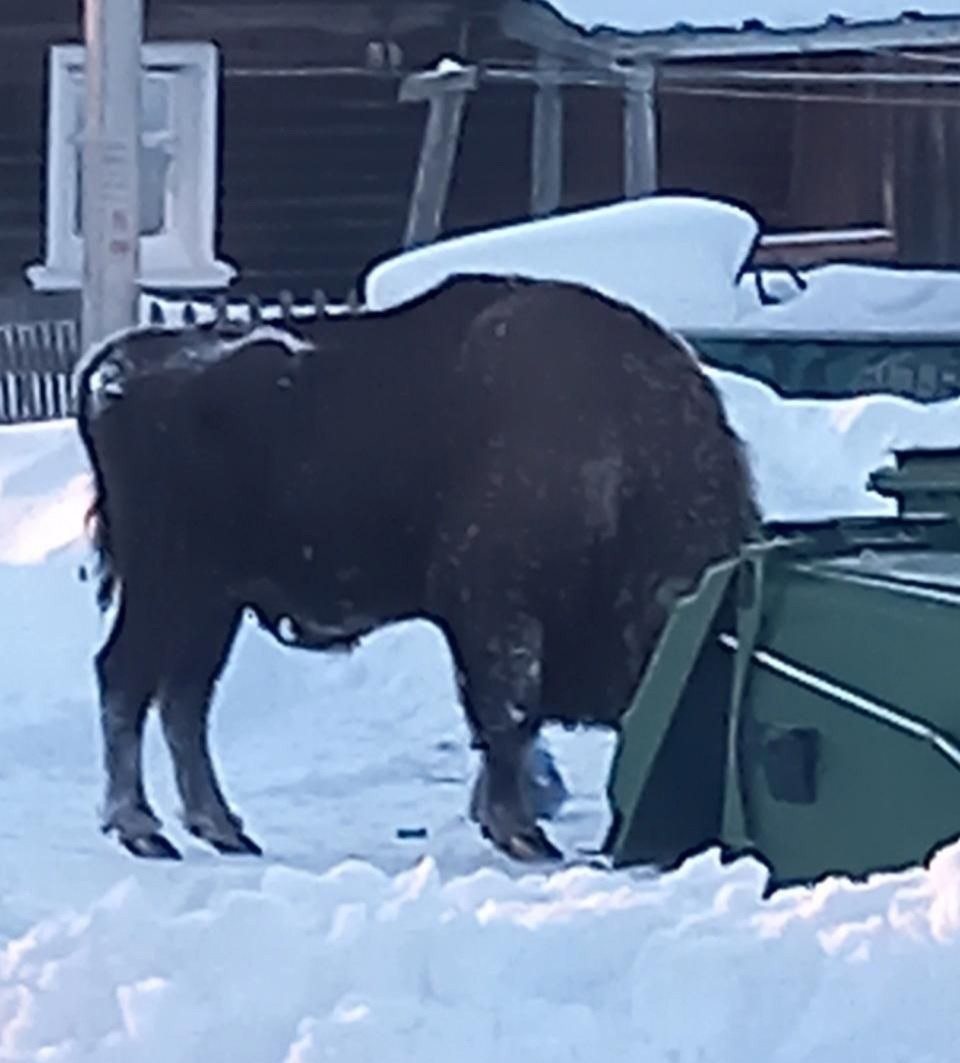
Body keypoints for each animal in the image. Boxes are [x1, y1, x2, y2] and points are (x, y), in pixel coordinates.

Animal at [77, 274, 756, 863]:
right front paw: (521, 832)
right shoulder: (495, 611)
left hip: (214, 601)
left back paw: (221, 829)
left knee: (184, 699)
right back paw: (140, 828)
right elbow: (509, 714)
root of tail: (117, 363)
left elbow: (510, 722)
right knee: (126, 678)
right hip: (169, 583)